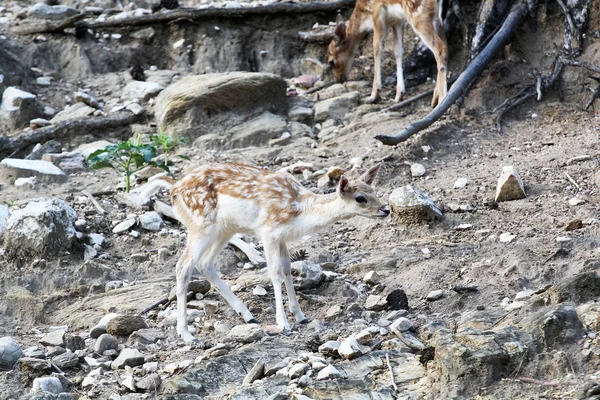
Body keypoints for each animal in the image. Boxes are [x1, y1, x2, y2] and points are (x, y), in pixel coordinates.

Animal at [138, 162, 386, 340]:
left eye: (374, 190)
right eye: (360, 198)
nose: (385, 209)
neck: (299, 210)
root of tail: (173, 187)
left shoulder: (282, 237)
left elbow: (287, 269)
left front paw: (301, 316)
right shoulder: (268, 231)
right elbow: (274, 272)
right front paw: (283, 323)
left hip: (224, 229)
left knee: (205, 264)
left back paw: (248, 315)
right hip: (201, 225)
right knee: (183, 266)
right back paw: (187, 334)